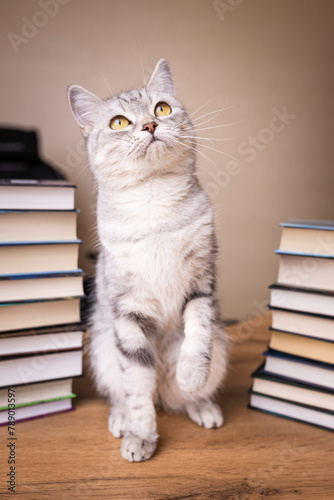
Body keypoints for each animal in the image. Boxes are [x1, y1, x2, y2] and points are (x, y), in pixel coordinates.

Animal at [68, 60, 230, 462]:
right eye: (119, 123)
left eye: (162, 108)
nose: (151, 125)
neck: (154, 205)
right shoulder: (129, 311)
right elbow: (139, 387)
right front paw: (140, 436)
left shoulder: (201, 283)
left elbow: (197, 335)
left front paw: (192, 374)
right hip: (103, 349)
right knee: (128, 392)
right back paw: (121, 419)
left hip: (220, 347)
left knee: (178, 395)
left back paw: (201, 404)